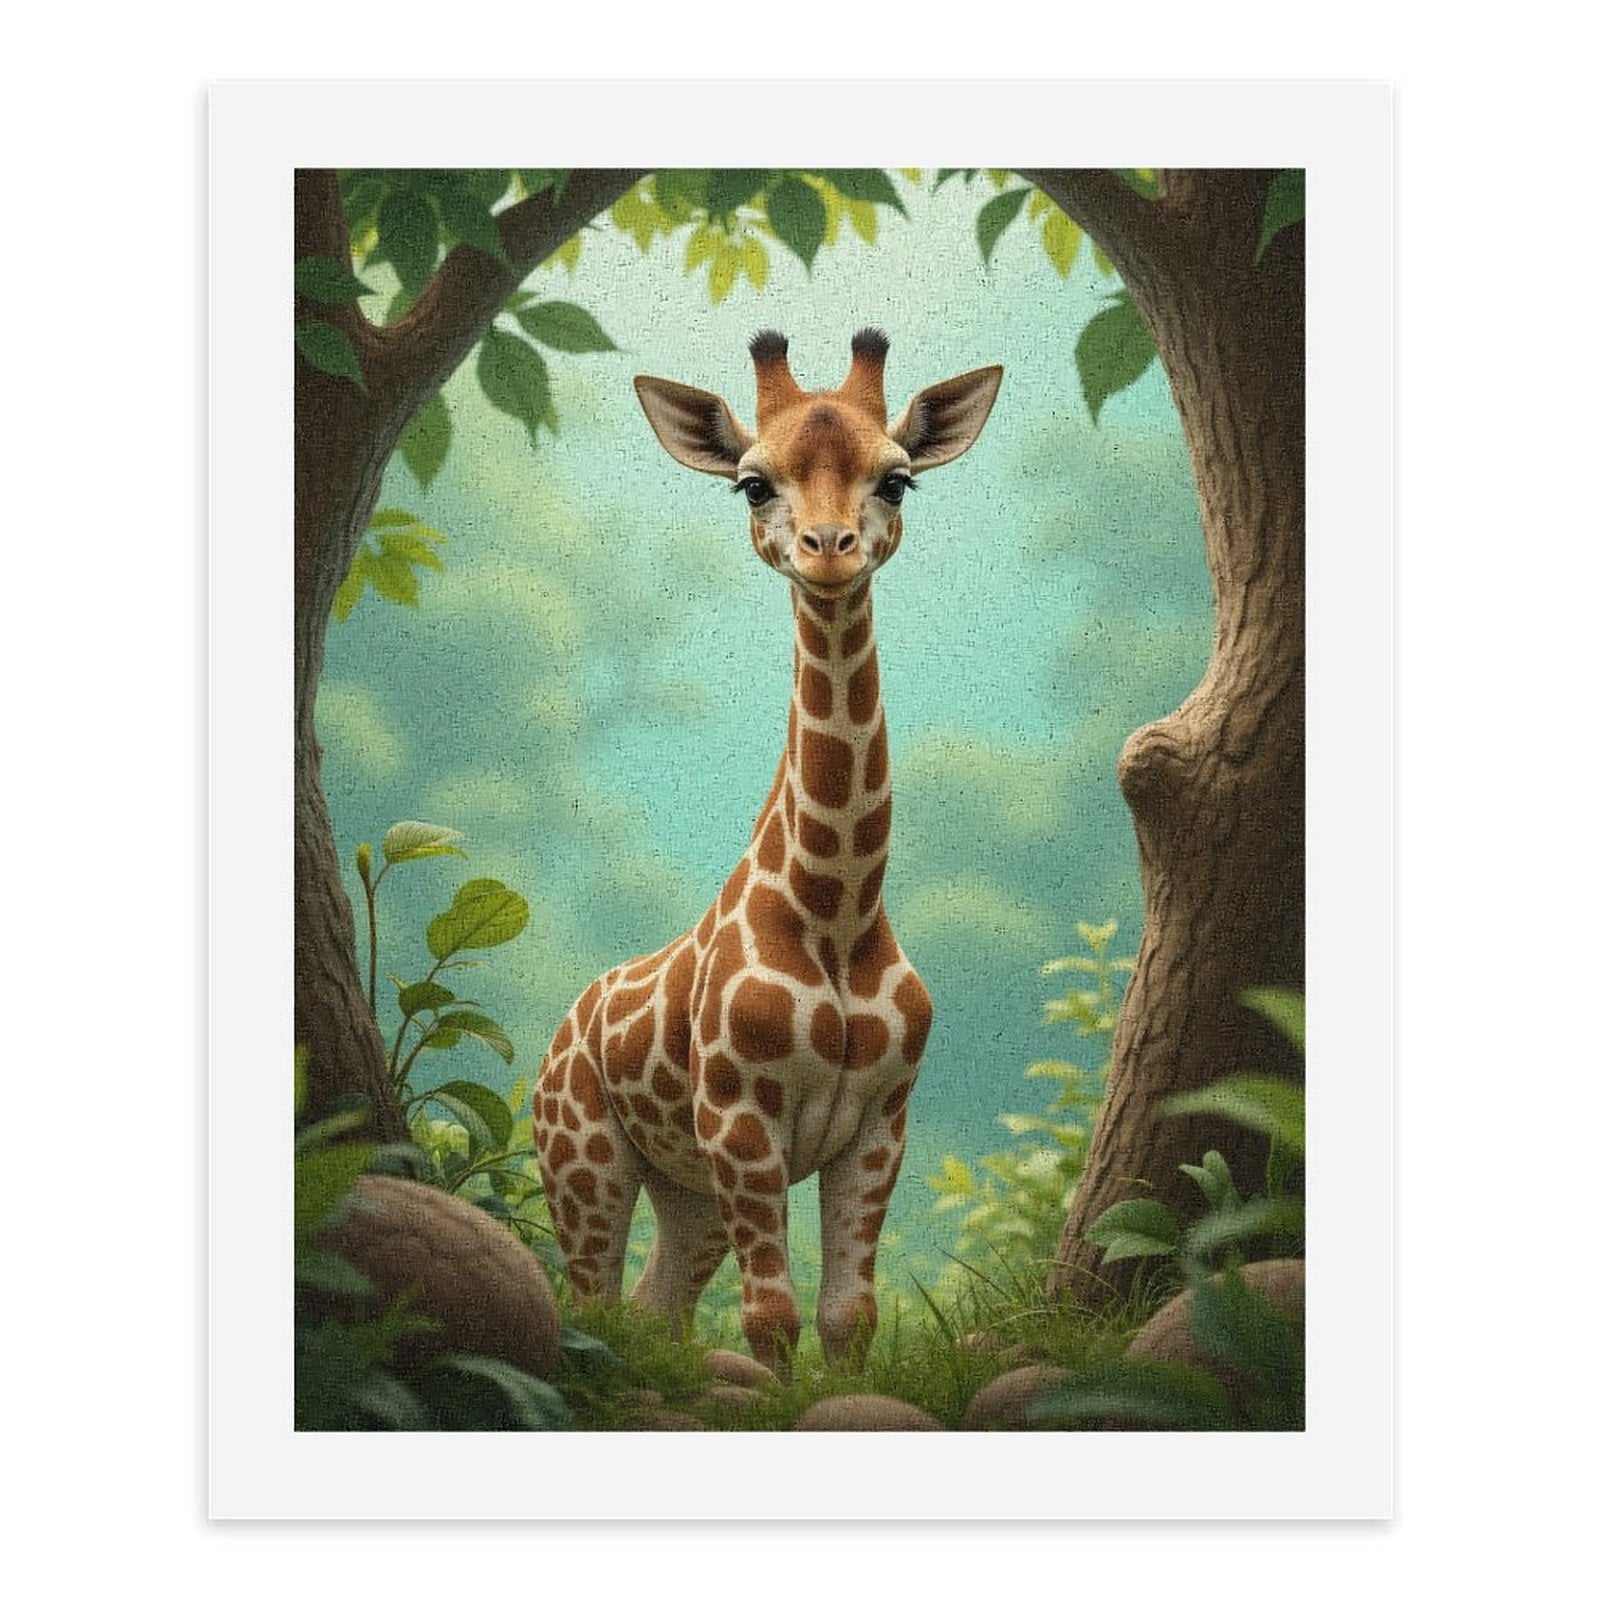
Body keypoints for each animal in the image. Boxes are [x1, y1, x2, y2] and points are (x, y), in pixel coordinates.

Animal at [532, 329, 1002, 1376]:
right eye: (752, 484)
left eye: (898, 479)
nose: (829, 552)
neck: (838, 913)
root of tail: (558, 1031)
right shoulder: (740, 1122)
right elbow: (771, 1319)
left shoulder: (880, 1124)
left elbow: (846, 1316)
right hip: (583, 1156)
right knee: (590, 1302)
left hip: (688, 1190)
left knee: (653, 1307)